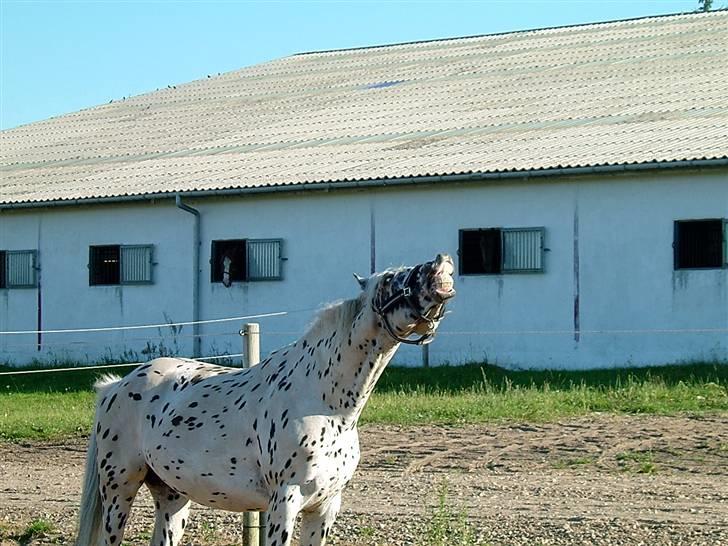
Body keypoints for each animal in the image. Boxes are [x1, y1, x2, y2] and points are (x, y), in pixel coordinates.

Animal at [78, 254, 456, 544]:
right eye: (393, 279)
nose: (441, 264)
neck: (327, 404)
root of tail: (116, 386)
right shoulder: (284, 503)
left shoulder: (325, 507)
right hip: (119, 490)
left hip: (172, 496)